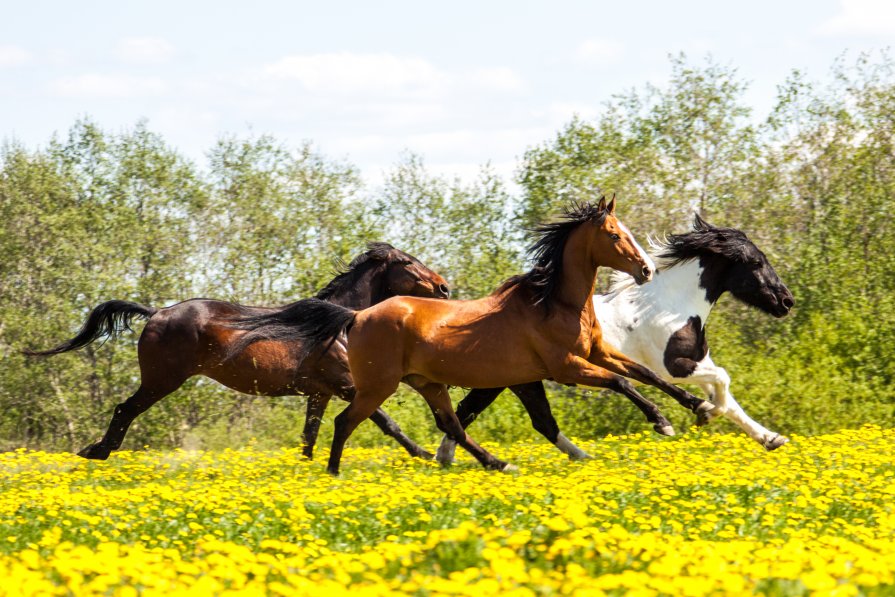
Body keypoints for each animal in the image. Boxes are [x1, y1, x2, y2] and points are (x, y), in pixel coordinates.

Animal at [24, 242, 452, 460]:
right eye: (408, 262)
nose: (445, 287)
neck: (338, 325)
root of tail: (156, 312)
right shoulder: (349, 386)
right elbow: (387, 423)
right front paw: (424, 454)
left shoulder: (319, 393)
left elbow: (309, 437)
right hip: (162, 380)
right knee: (123, 410)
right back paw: (96, 451)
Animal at [229, 197, 712, 474]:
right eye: (613, 234)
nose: (646, 270)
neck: (553, 303)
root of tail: (356, 315)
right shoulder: (567, 367)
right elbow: (622, 383)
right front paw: (663, 422)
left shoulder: (595, 352)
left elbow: (647, 376)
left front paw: (699, 407)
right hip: (377, 386)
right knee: (347, 422)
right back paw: (334, 475)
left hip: (428, 383)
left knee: (452, 425)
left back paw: (499, 464)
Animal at [438, 212, 796, 464]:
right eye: (756, 262)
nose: (786, 301)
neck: (671, 306)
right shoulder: (675, 367)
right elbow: (723, 380)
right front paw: (706, 412)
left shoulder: (696, 364)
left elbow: (730, 399)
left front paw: (770, 438)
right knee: (476, 413)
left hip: (516, 380)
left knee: (485, 413)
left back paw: (449, 458)